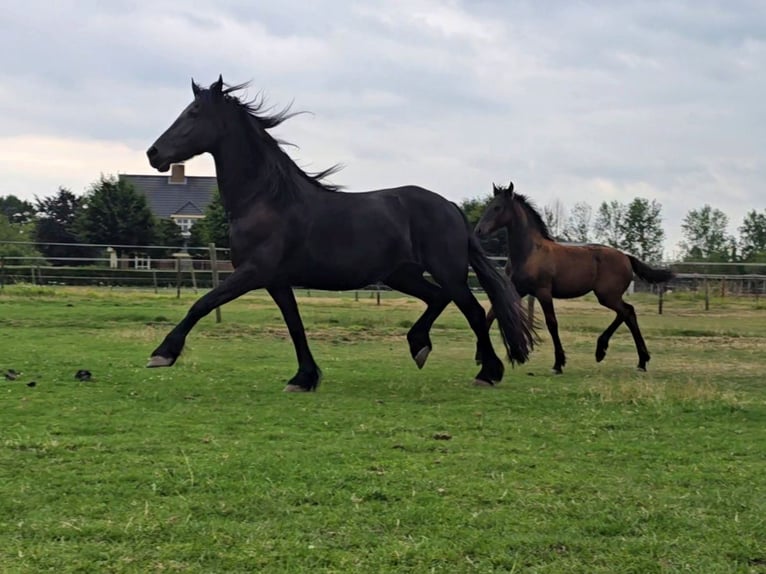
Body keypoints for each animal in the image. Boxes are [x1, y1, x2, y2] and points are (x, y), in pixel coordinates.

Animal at [144, 76, 536, 391]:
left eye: (194, 112)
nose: (153, 153)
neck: (267, 199)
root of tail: (451, 207)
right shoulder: (276, 280)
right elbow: (295, 325)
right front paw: (304, 378)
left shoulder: (254, 272)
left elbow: (202, 303)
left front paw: (162, 353)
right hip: (401, 275)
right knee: (437, 299)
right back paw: (419, 345)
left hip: (448, 271)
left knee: (473, 311)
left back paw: (488, 372)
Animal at [474, 181, 674, 374]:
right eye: (489, 206)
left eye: (498, 207)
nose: (478, 231)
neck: (530, 253)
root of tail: (626, 257)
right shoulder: (518, 290)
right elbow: (491, 315)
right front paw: (480, 357)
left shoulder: (543, 292)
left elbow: (552, 323)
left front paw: (558, 364)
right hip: (608, 296)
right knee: (628, 314)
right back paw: (639, 361)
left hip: (607, 296)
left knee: (627, 311)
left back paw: (606, 351)